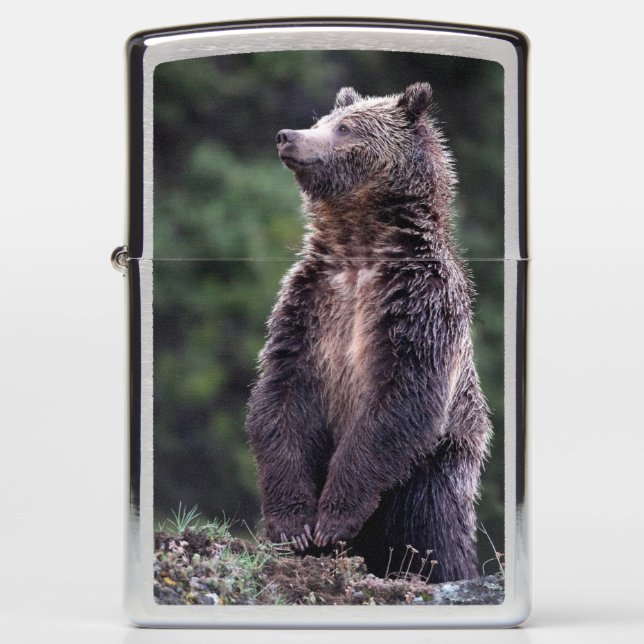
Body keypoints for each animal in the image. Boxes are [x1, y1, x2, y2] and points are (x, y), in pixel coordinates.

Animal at [246, 83, 492, 583]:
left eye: (345, 127)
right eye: (321, 120)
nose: (287, 136)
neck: (360, 246)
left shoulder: (418, 306)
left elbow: (400, 399)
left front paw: (332, 519)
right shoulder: (310, 306)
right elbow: (279, 396)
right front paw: (294, 526)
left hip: (437, 469)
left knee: (434, 528)